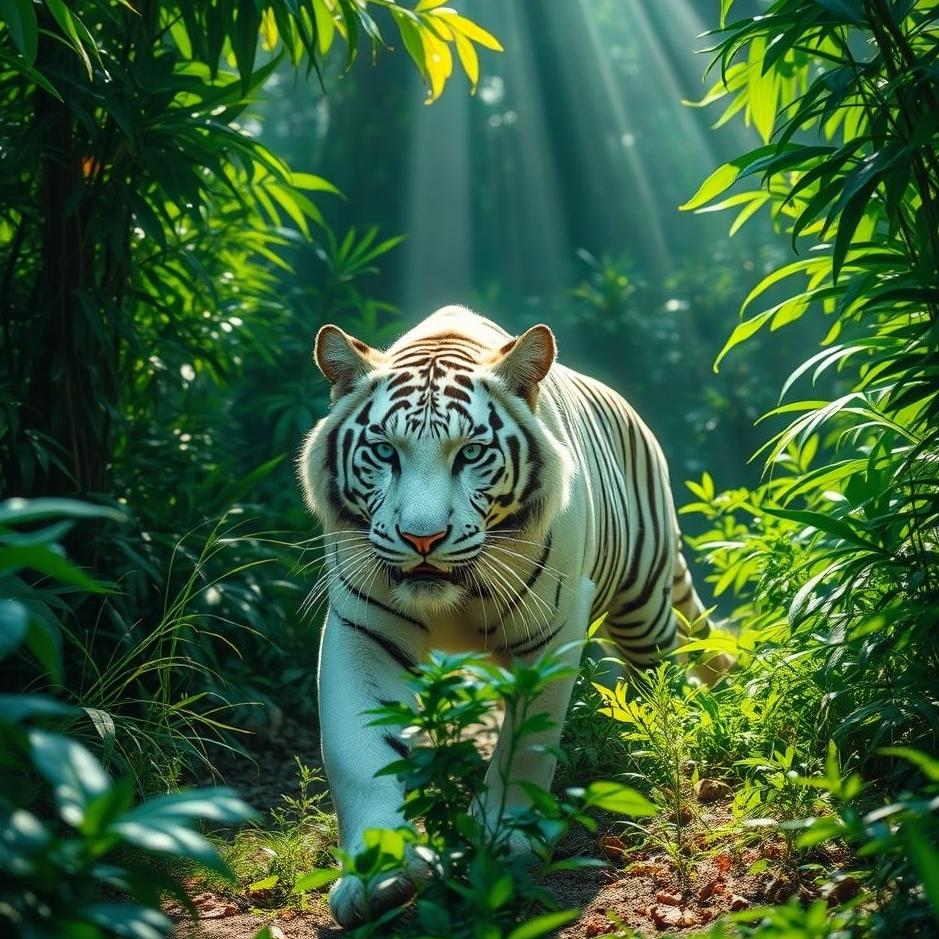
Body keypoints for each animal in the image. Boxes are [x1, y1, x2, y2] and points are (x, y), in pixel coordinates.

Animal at [299, 305, 723, 927]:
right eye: (385, 452)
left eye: (470, 453)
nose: (422, 539)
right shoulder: (362, 630)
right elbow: (358, 752)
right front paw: (378, 871)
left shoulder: (551, 631)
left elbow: (526, 745)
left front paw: (501, 838)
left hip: (642, 602)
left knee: (664, 669)